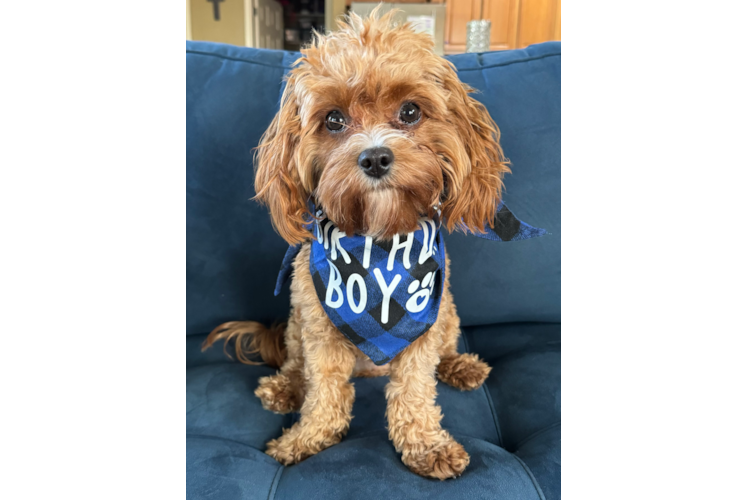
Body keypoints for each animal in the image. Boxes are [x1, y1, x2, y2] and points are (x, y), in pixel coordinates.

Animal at [202, 8, 512, 480]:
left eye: (410, 111)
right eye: (333, 119)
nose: (375, 157)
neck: (377, 241)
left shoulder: (421, 330)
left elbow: (415, 392)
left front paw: (426, 446)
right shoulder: (320, 330)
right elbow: (325, 392)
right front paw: (306, 439)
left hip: (447, 314)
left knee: (444, 349)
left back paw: (460, 365)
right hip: (297, 321)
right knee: (296, 363)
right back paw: (285, 386)